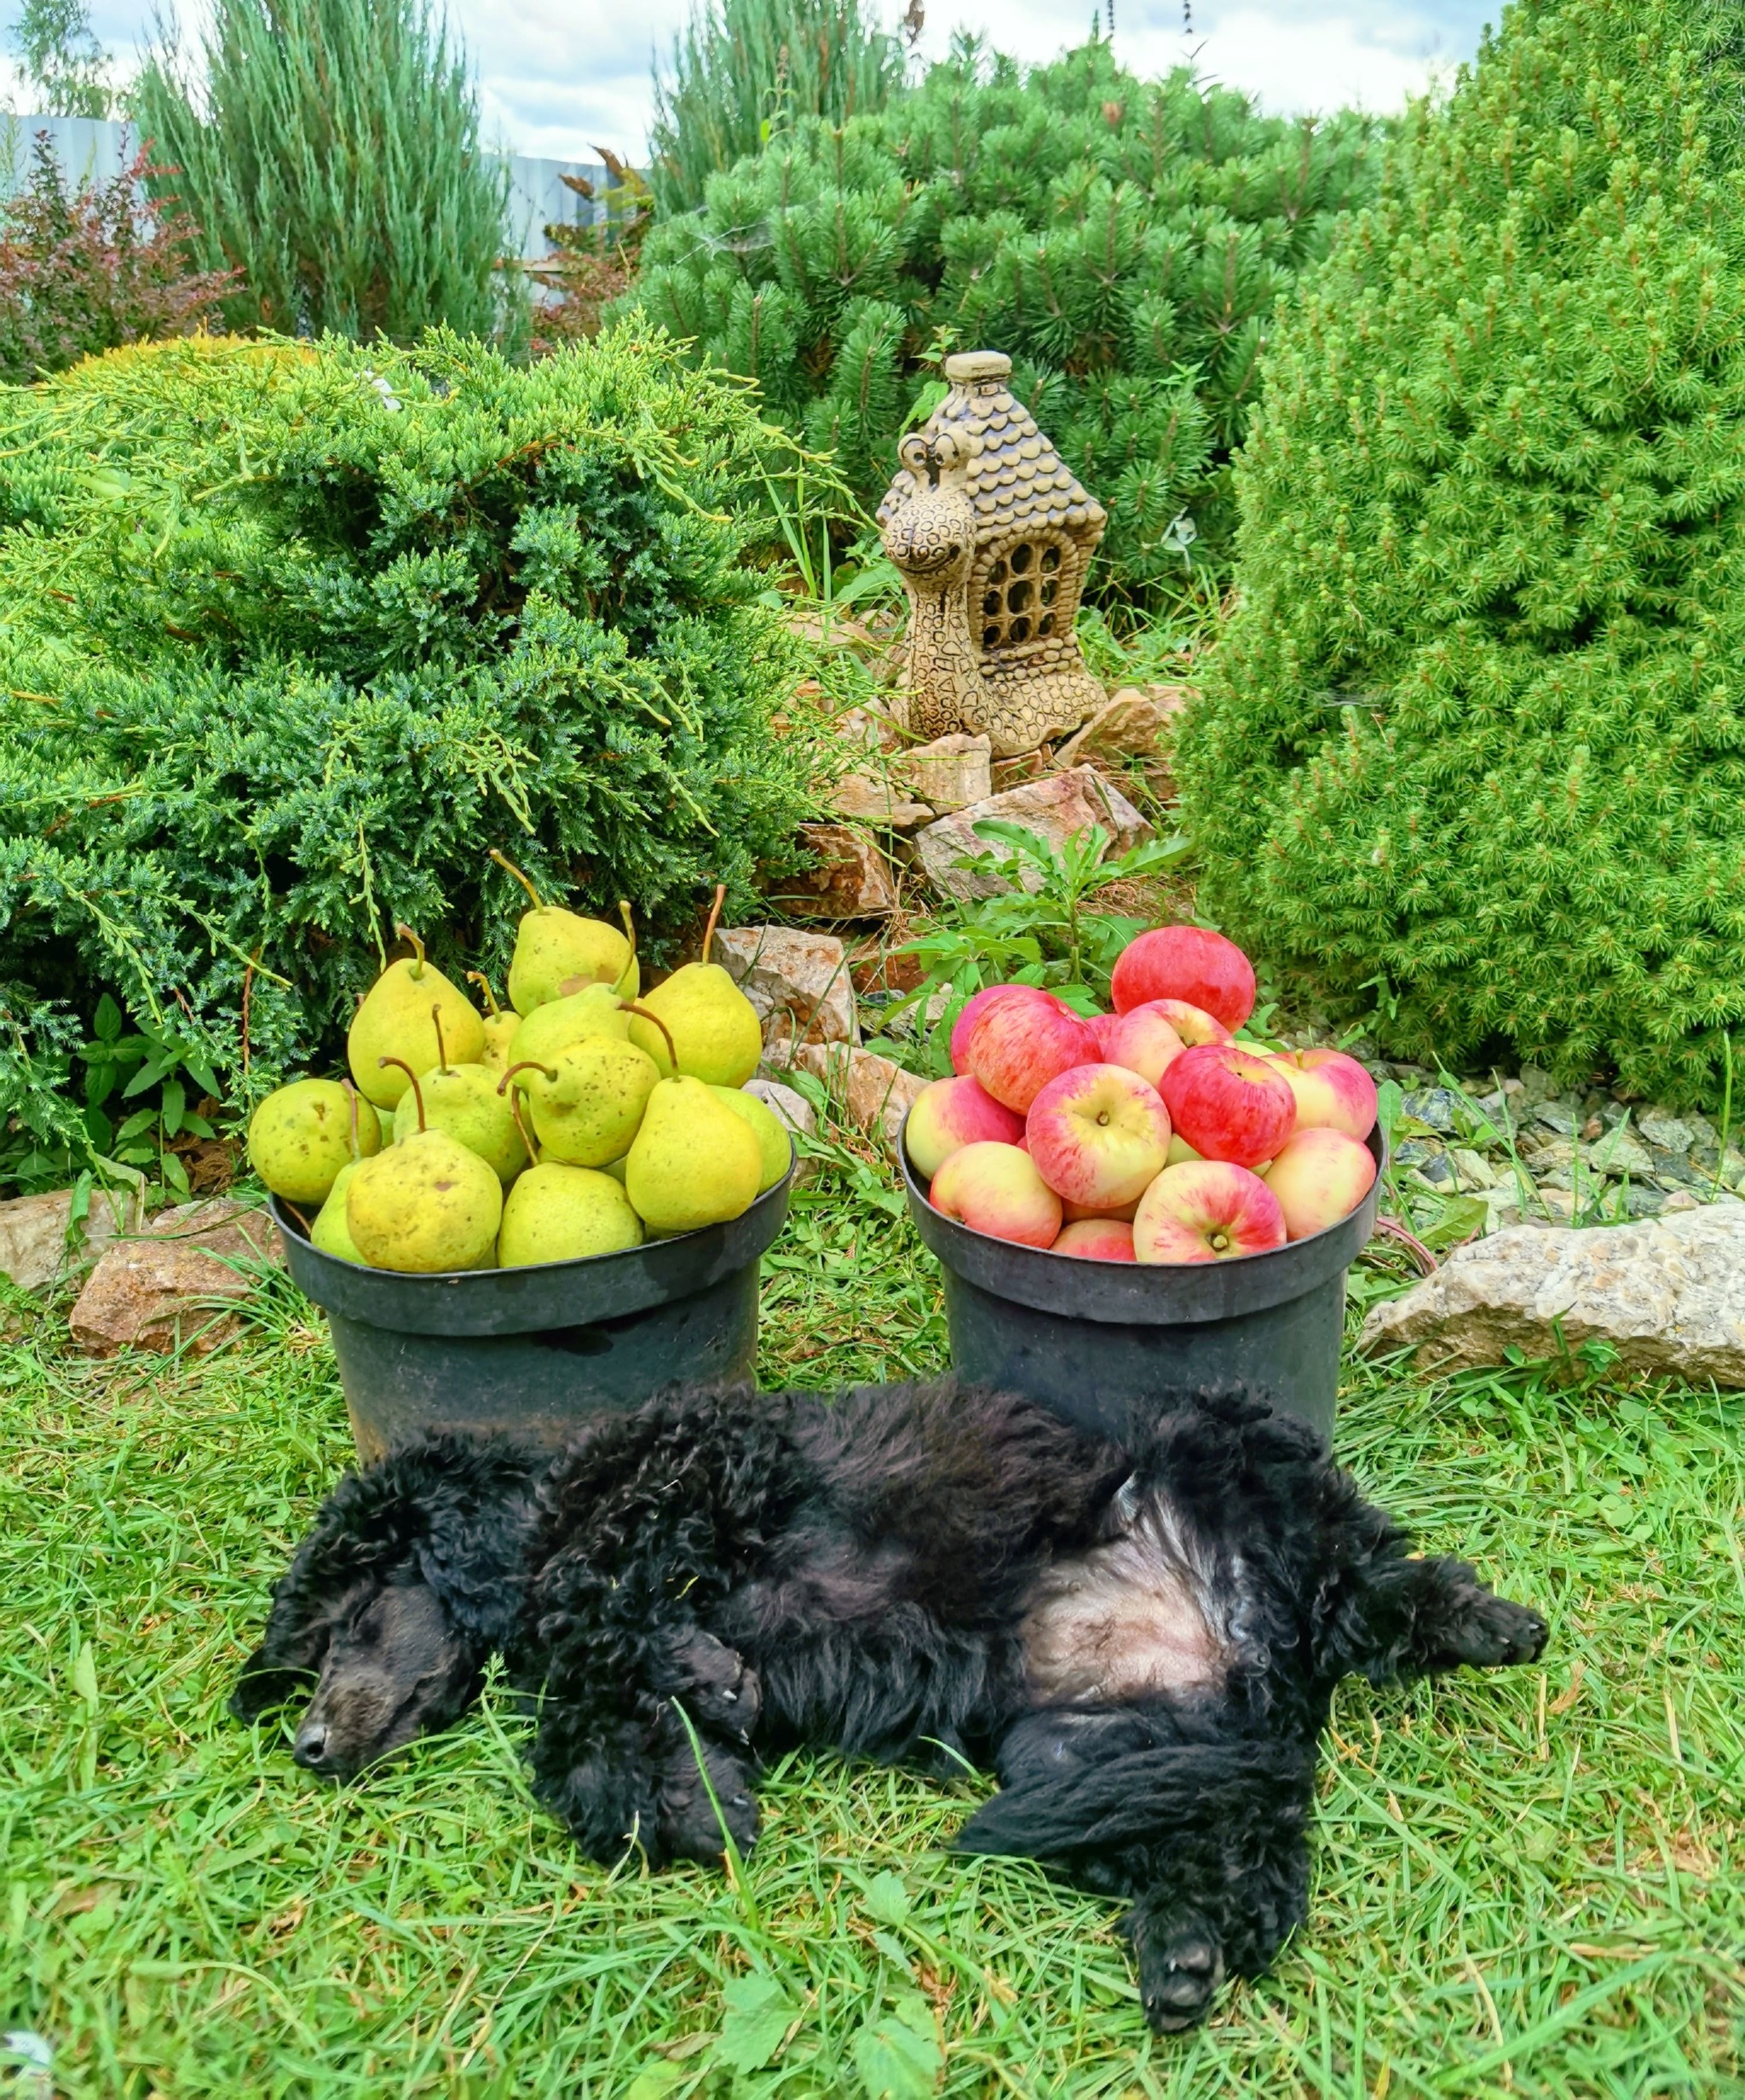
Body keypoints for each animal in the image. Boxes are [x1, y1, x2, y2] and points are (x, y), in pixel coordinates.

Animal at [522, 1385, 1553, 2024]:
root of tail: (1263, 1653)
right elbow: (593, 1699)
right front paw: (687, 1775)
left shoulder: (702, 1466)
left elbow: (592, 1601)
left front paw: (683, 1686)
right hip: (1084, 1755)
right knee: (1229, 1846)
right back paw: (1184, 1948)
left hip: (1233, 1444)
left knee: (1358, 1579)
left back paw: (1476, 1620)